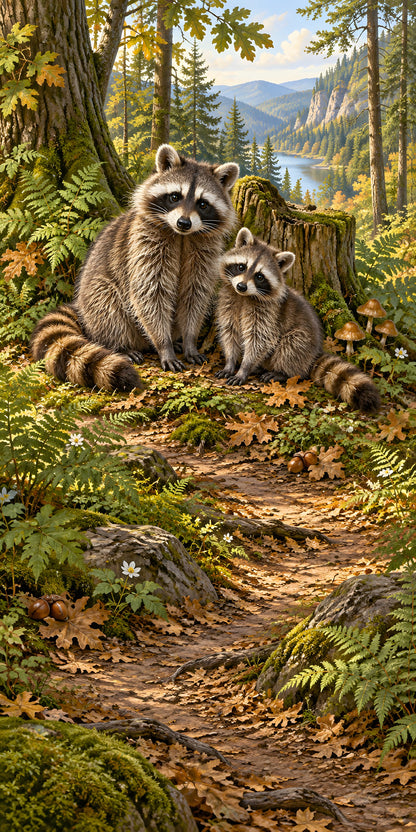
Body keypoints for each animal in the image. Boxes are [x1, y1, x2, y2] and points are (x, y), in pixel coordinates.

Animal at [31, 145, 239, 391]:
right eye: (174, 196)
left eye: (203, 203)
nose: (184, 223)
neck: (182, 237)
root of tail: (79, 307)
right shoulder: (142, 245)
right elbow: (149, 294)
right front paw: (164, 345)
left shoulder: (205, 252)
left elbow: (194, 294)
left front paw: (189, 340)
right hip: (95, 297)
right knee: (106, 300)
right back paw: (120, 344)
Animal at [216, 228, 380, 414]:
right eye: (241, 266)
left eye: (259, 276)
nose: (241, 286)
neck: (244, 297)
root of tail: (314, 353)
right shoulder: (228, 302)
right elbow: (229, 332)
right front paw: (230, 362)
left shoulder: (268, 314)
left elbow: (260, 340)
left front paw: (245, 367)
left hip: (303, 339)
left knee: (292, 345)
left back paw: (283, 372)